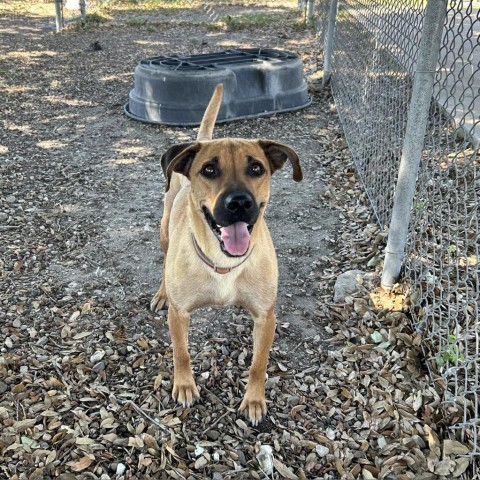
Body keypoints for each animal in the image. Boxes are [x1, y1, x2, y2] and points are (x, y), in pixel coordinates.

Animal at [150, 85, 302, 424]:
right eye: (209, 169)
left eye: (256, 168)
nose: (239, 203)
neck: (223, 264)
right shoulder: (179, 314)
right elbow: (181, 353)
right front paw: (185, 385)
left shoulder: (265, 316)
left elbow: (258, 364)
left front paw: (254, 400)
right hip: (165, 230)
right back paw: (162, 291)